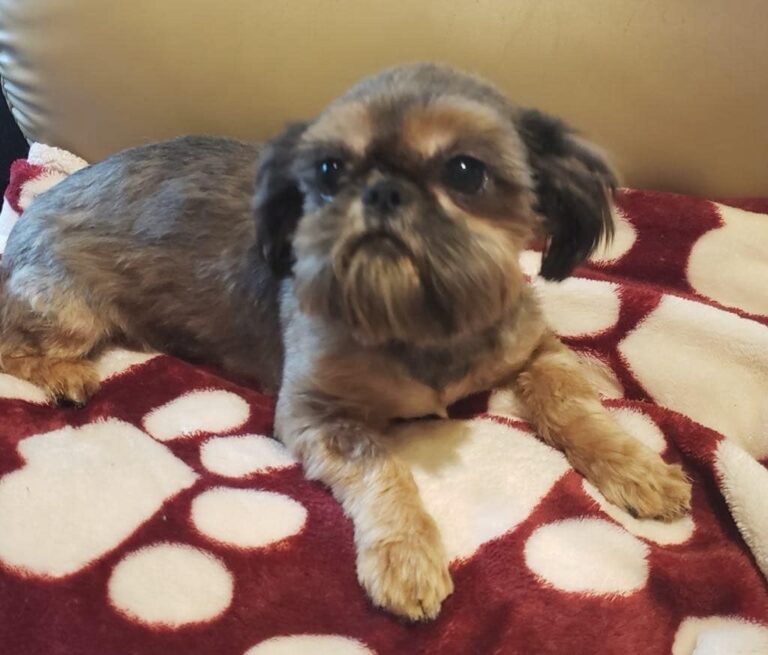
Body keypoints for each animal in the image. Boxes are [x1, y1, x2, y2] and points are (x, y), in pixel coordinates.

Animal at [0, 64, 692, 624]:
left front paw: (637, 468)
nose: (382, 190)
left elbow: (573, 406)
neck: (417, 316)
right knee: (12, 340)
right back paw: (64, 376)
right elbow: (383, 467)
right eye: (330, 171)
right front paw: (406, 556)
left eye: (465, 171)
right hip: (66, 308)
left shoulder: (534, 345)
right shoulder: (316, 414)